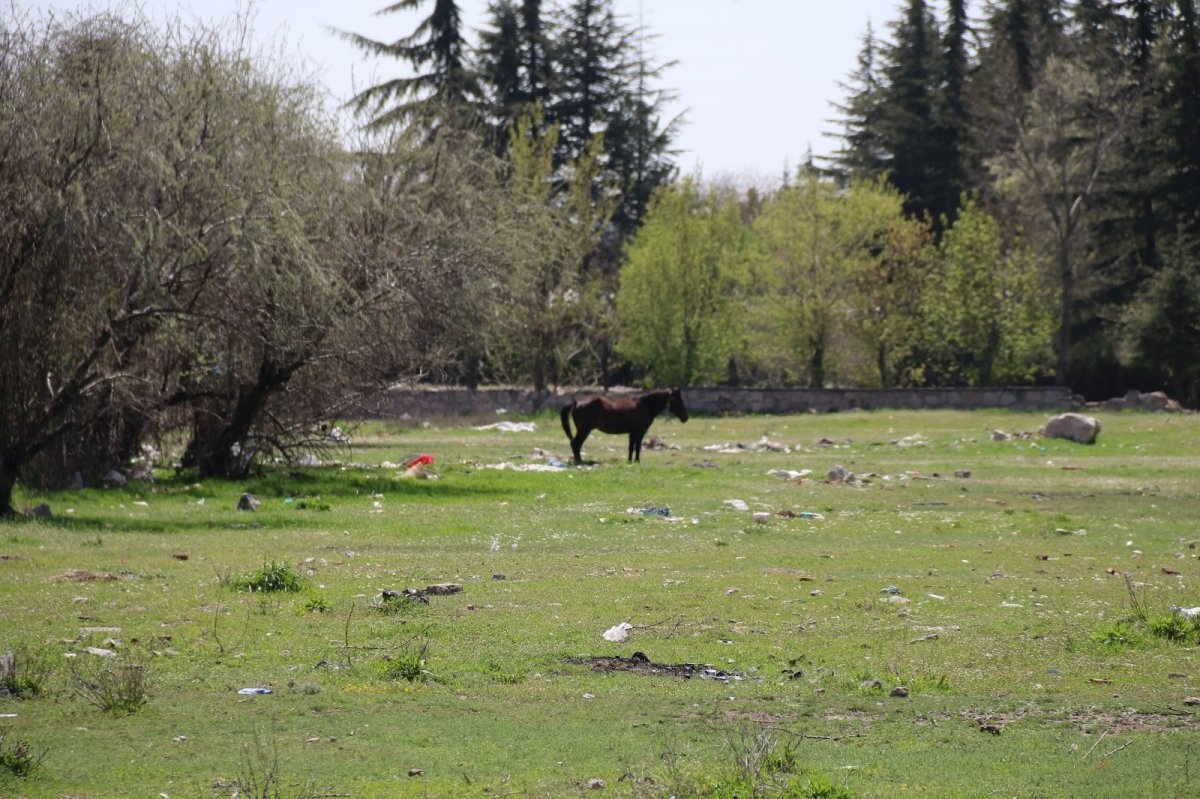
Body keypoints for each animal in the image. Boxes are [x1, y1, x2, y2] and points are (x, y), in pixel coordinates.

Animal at [559, 383, 691, 460]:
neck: (645, 406)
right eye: (679, 400)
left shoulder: (632, 432)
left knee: (576, 444)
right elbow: (637, 447)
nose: (686, 417)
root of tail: (576, 402)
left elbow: (631, 447)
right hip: (584, 430)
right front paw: (637, 461)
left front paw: (630, 461)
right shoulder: (639, 432)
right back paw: (578, 461)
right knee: (575, 444)